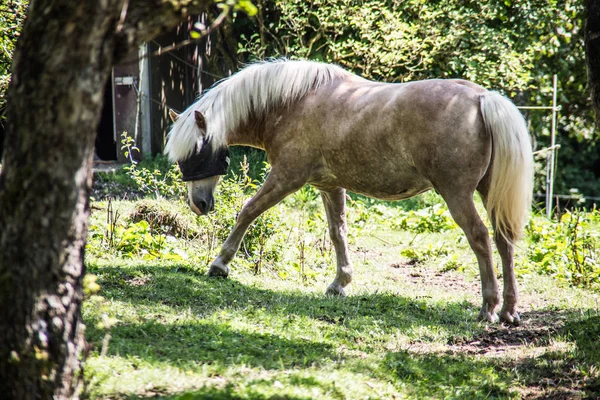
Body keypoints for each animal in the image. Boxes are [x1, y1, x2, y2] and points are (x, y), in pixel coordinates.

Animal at [164, 60, 536, 328]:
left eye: (196, 152)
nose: (199, 204)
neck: (293, 102)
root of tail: (481, 98)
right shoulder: (330, 186)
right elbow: (337, 232)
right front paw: (339, 283)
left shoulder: (286, 178)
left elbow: (248, 211)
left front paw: (220, 264)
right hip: (487, 194)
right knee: (503, 240)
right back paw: (509, 310)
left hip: (456, 194)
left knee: (480, 238)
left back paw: (488, 307)